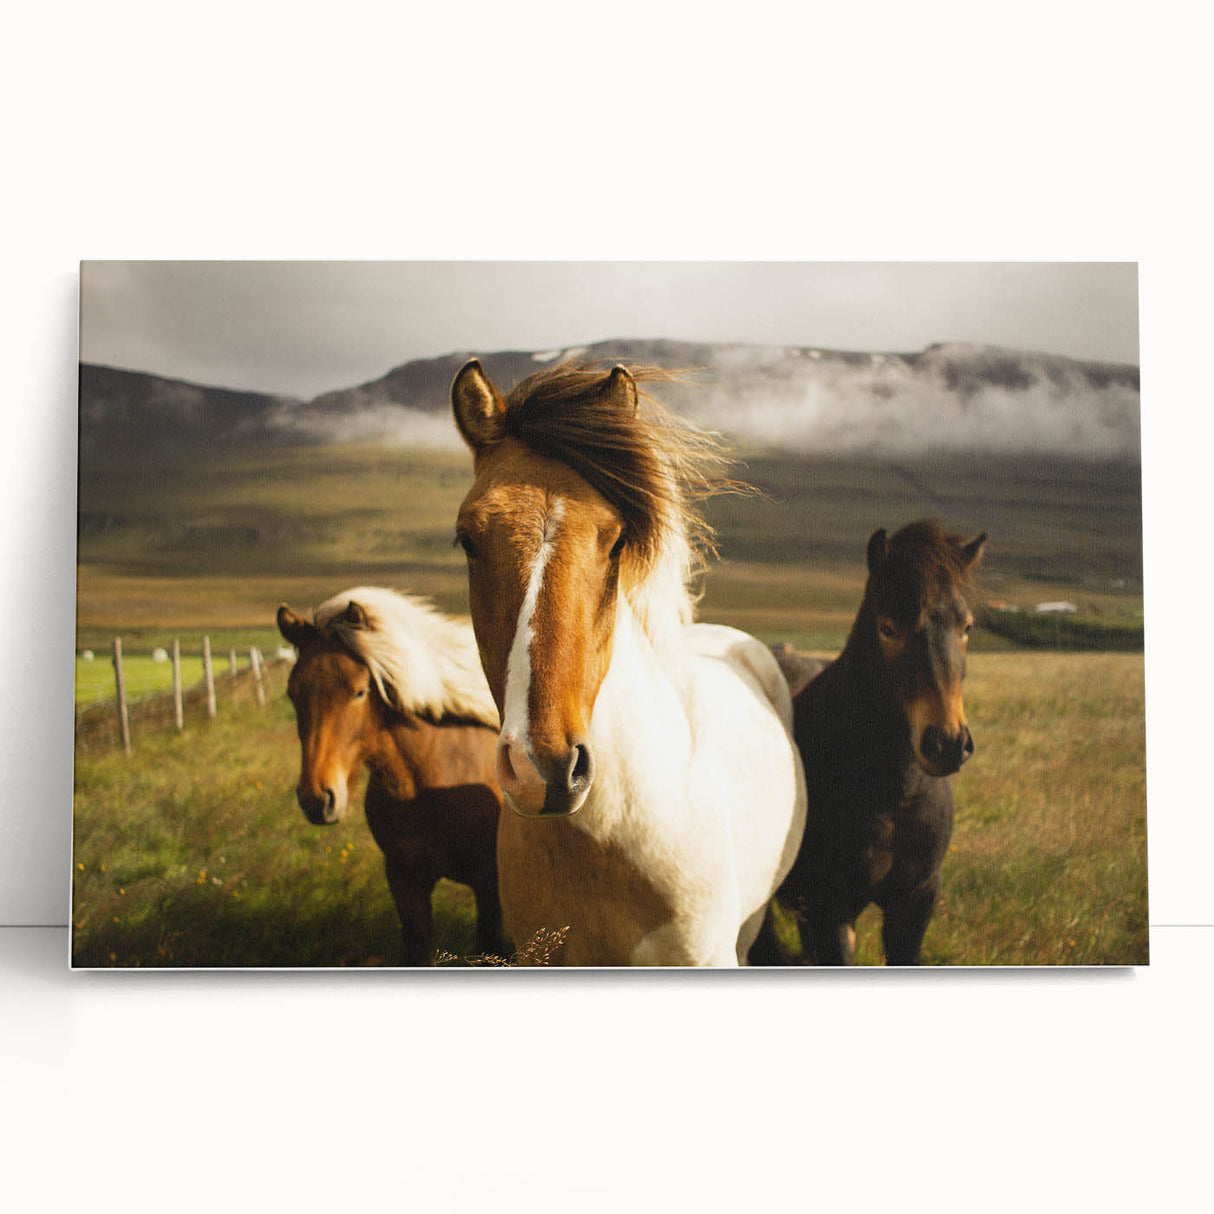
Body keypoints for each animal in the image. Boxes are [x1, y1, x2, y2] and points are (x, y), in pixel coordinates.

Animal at [749, 519, 985, 966]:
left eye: (966, 627)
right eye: (888, 627)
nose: (946, 743)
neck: (894, 796)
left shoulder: (915, 901)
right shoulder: (829, 910)